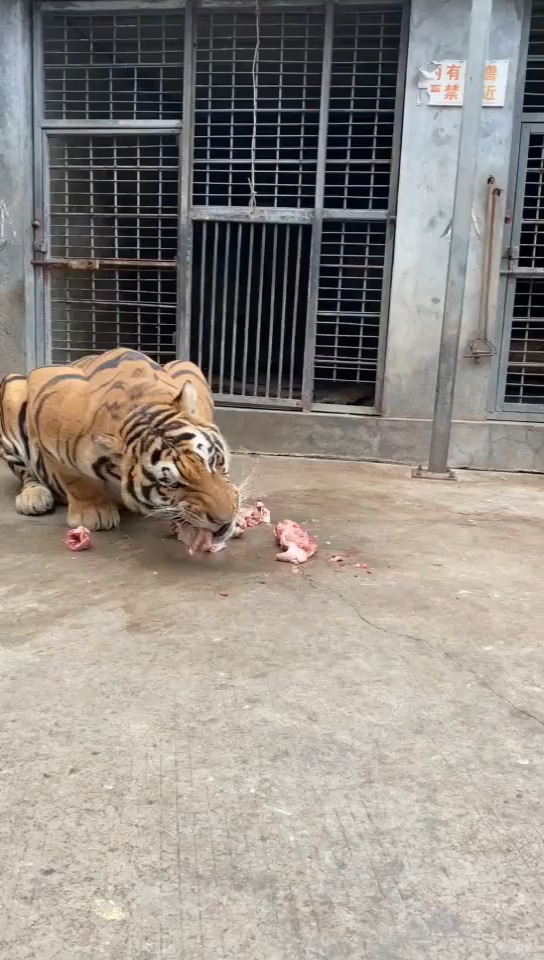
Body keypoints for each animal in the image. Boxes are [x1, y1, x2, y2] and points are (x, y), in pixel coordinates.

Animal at [0, 348, 240, 547]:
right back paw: (34, 497)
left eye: (214, 461)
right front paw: (93, 513)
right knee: (26, 473)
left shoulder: (188, 367)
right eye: (172, 484)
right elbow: (75, 479)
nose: (225, 520)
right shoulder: (49, 391)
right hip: (12, 388)